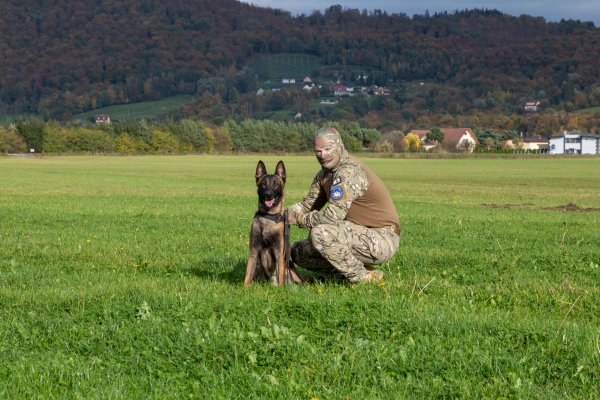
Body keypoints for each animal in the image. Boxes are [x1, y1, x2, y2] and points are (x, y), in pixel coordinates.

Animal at [245, 160, 304, 288]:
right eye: (263, 184)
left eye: (276, 184)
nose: (269, 194)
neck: (269, 217)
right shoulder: (253, 252)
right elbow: (247, 275)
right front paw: (244, 288)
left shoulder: (279, 254)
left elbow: (280, 277)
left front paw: (281, 290)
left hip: (290, 269)